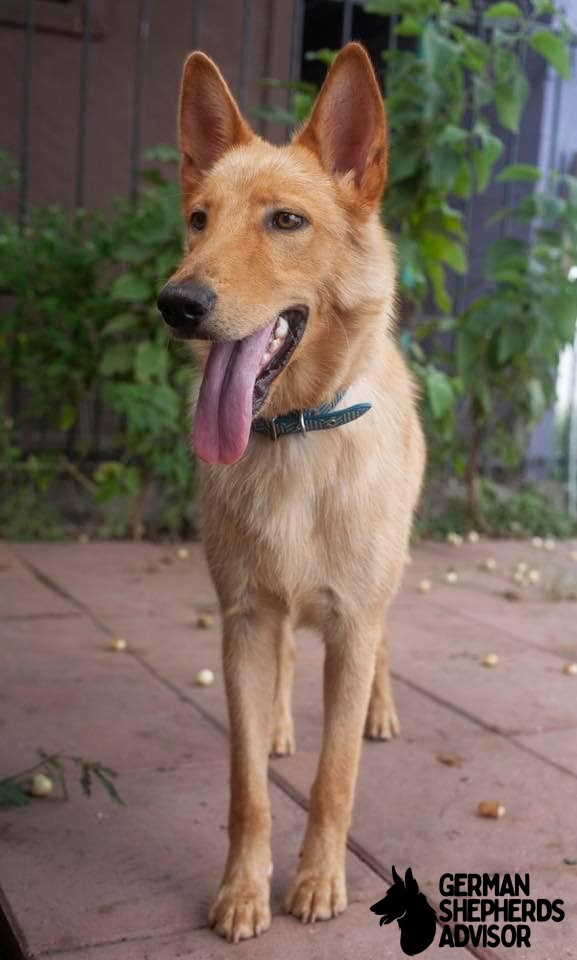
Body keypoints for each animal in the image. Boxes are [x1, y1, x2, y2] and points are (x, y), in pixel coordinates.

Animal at [156, 43, 424, 944]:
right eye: (199, 219)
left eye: (285, 222)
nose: (177, 302)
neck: (296, 437)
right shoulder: (242, 618)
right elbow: (245, 788)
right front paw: (244, 890)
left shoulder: (351, 620)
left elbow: (334, 777)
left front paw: (316, 881)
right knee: (280, 670)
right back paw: (276, 724)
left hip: (384, 587)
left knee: (381, 650)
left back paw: (380, 710)